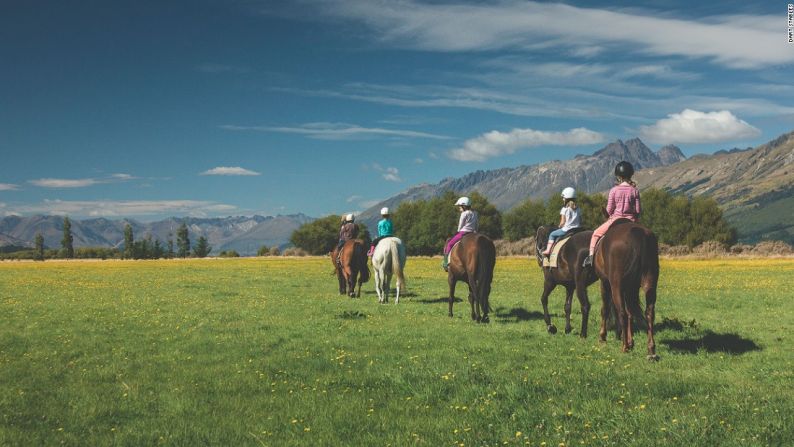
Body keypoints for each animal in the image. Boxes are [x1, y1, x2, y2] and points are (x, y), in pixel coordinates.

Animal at [592, 220, 660, 360]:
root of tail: (638, 233)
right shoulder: (629, 289)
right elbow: (630, 313)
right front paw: (631, 341)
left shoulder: (605, 283)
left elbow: (605, 310)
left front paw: (603, 337)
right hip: (650, 285)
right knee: (649, 313)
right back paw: (650, 349)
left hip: (615, 285)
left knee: (622, 313)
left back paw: (624, 347)